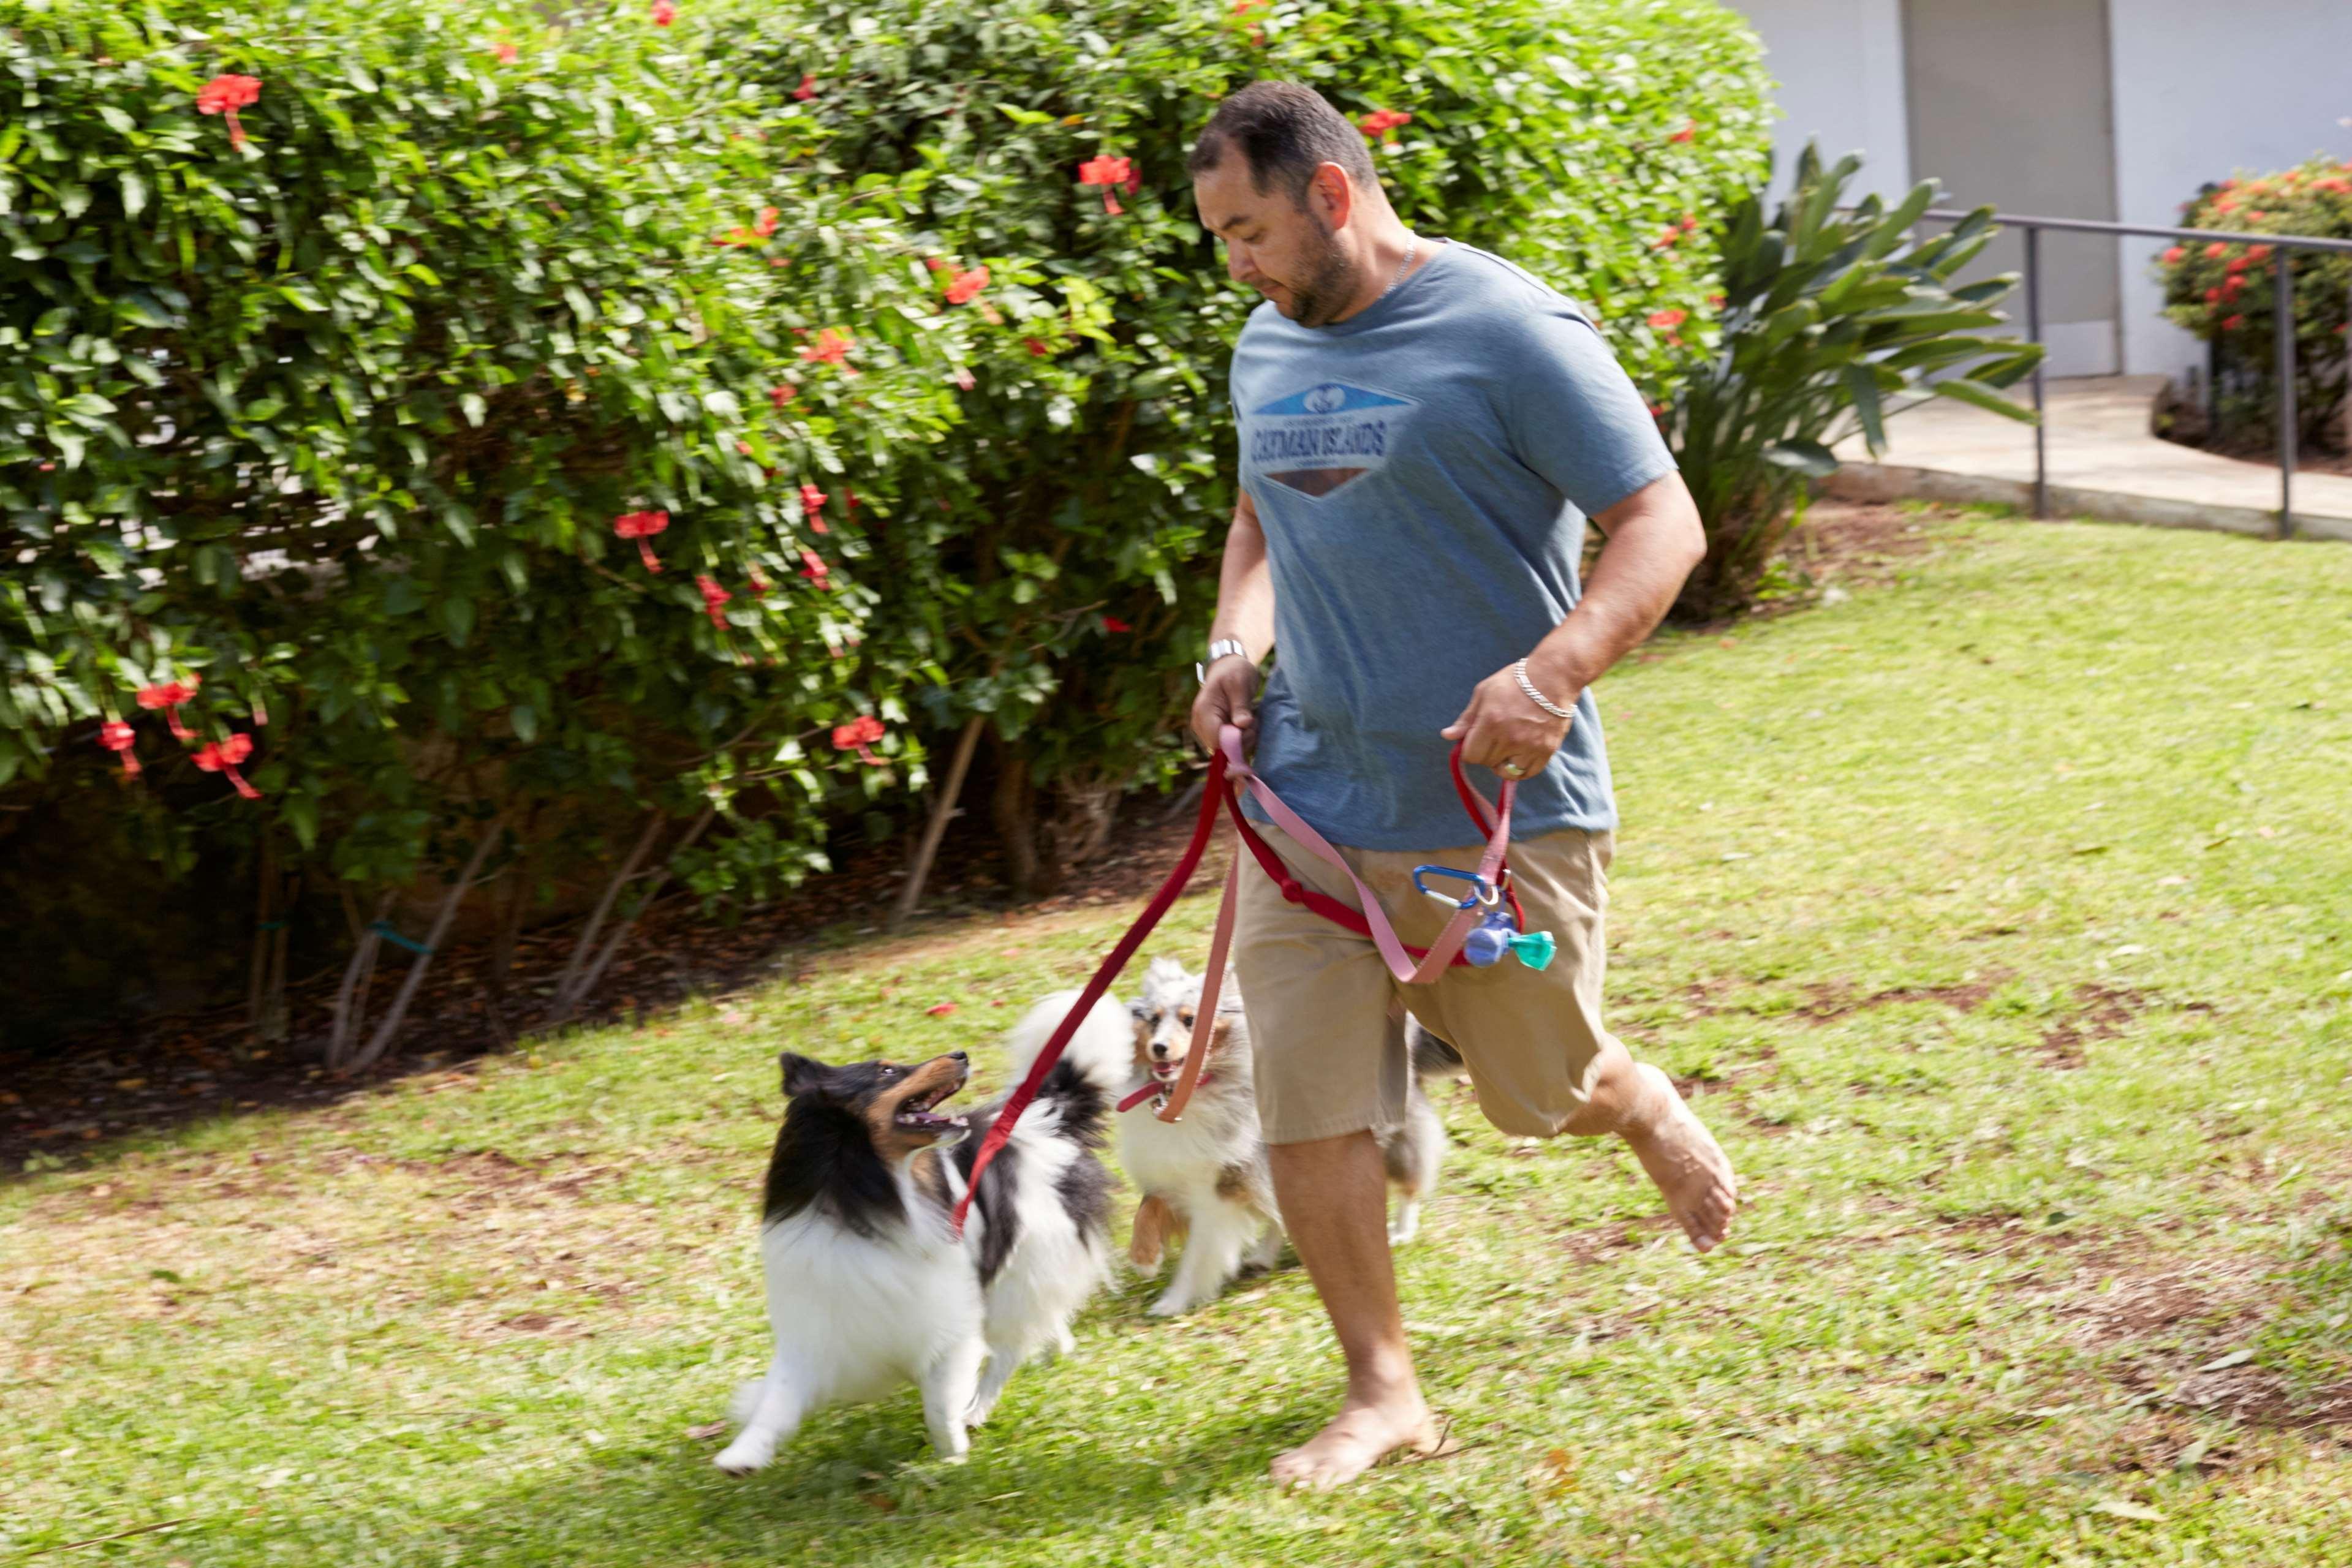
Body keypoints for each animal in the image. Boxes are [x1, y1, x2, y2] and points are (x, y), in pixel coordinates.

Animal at [705, 992, 1129, 1476]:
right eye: (887, 1071)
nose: (961, 1054)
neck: (868, 1198)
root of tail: (1049, 1118)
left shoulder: (948, 1328)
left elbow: (940, 1407)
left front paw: (952, 1456)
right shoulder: (818, 1327)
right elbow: (777, 1400)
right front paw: (743, 1454)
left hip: (1023, 1270)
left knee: (1007, 1350)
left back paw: (978, 1407)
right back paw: (1055, 1347)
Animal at [1114, 949, 1448, 1316]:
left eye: (1190, 1021)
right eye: (1154, 1020)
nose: (1159, 1048)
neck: (1192, 1090)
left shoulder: (1218, 1188)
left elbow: (1197, 1256)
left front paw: (1173, 1301)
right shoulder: (1171, 1166)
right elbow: (1147, 1207)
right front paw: (1144, 1259)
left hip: (1395, 1133)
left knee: (1410, 1179)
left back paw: (1401, 1230)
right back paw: (1263, 1256)